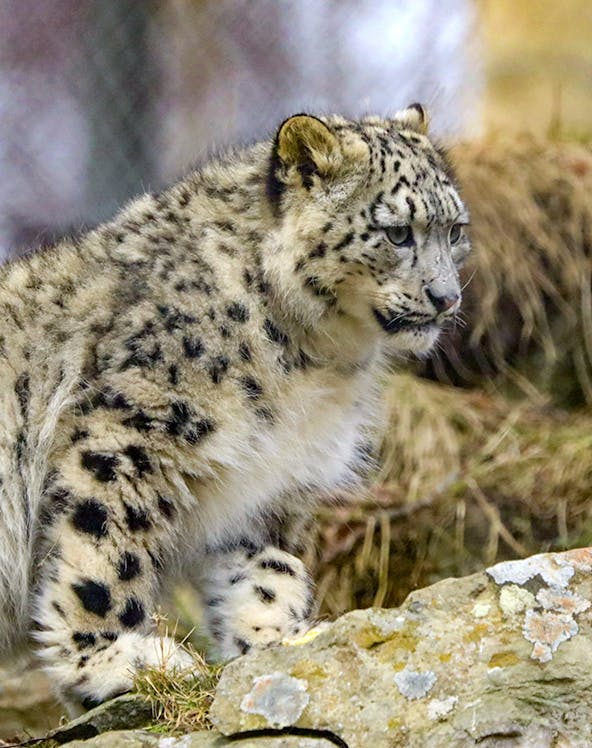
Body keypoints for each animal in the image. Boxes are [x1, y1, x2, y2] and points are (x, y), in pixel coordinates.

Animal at [0, 104, 470, 712]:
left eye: (455, 231)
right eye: (396, 233)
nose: (447, 298)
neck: (314, 359)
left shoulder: (265, 481)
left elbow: (270, 568)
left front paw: (275, 640)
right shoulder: (128, 432)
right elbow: (104, 551)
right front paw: (106, 663)